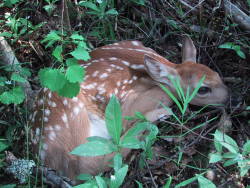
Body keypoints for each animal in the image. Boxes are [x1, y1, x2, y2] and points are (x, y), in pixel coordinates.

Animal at [29, 36, 229, 179]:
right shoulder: (132, 104)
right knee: (87, 164)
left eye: (218, 75)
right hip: (72, 113)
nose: (230, 98)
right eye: (203, 89)